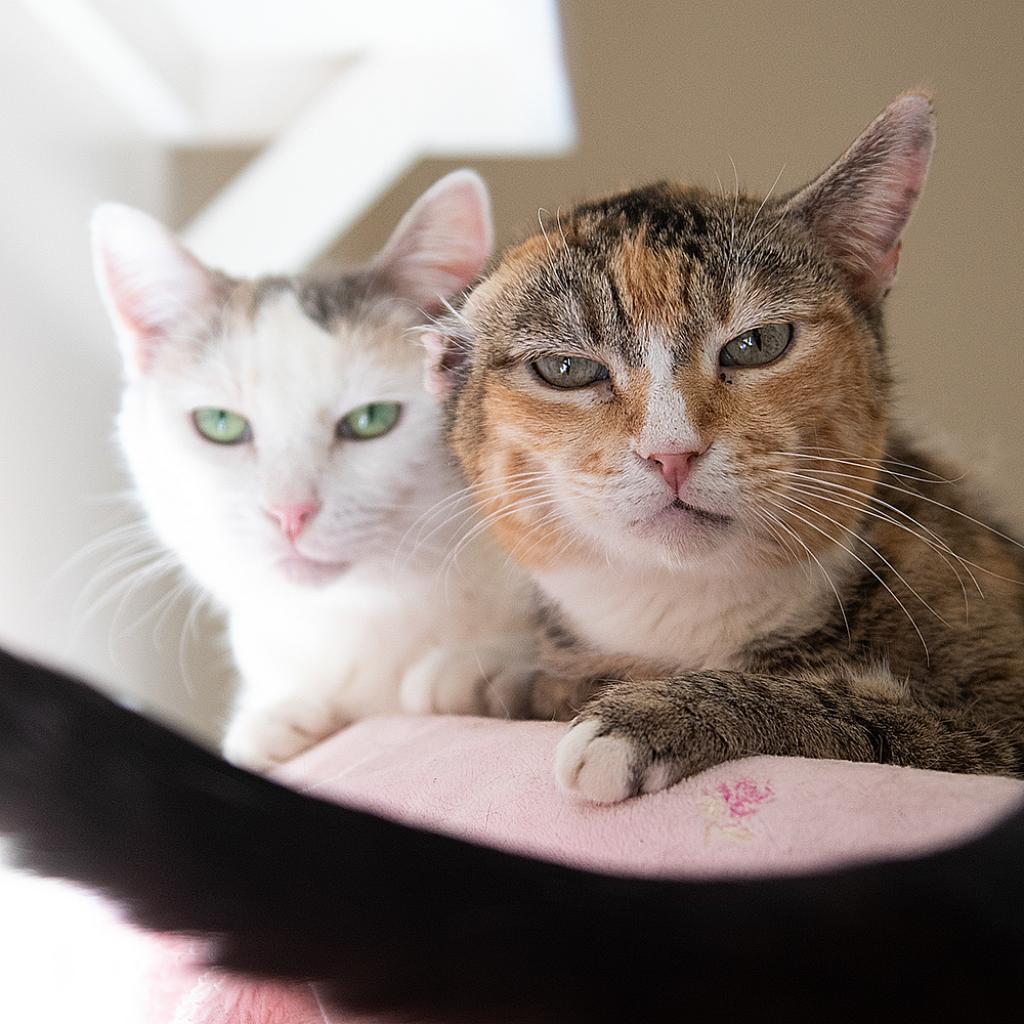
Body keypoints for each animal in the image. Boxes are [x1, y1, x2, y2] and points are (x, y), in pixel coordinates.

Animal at [92, 169, 540, 770]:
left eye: (371, 419)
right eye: (219, 424)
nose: (290, 512)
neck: (366, 613)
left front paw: (484, 667)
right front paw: (273, 716)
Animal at [430, 90, 1024, 798]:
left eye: (757, 344)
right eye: (566, 369)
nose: (671, 452)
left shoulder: (1001, 721)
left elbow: (877, 717)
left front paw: (645, 719)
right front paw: (490, 668)